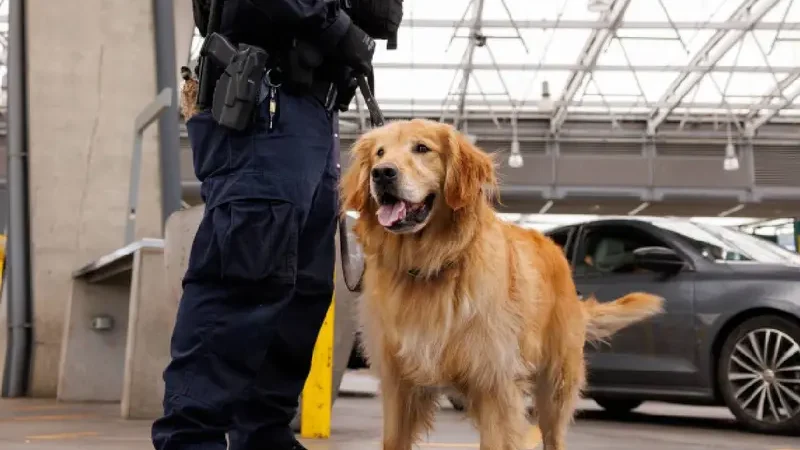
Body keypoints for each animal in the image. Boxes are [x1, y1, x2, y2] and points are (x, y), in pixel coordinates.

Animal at [340, 118, 664, 448]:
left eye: (421, 148)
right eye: (379, 153)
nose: (382, 173)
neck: (431, 263)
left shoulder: (495, 385)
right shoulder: (399, 386)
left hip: (556, 384)